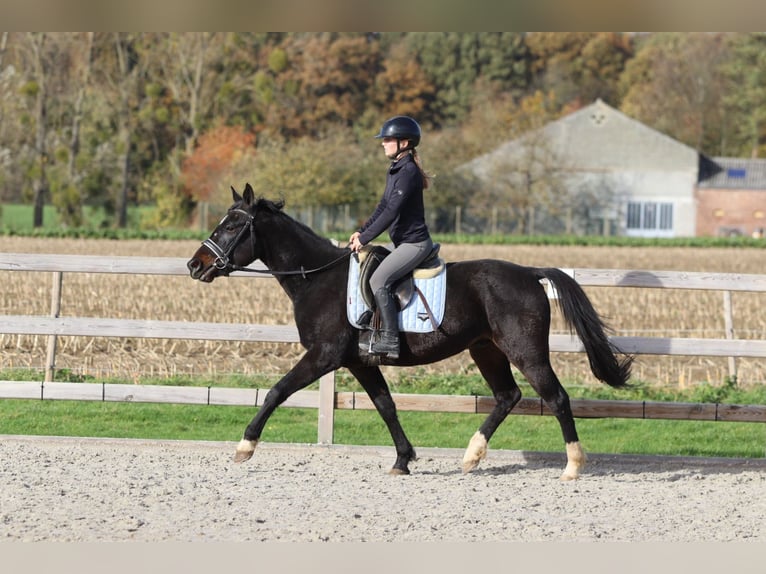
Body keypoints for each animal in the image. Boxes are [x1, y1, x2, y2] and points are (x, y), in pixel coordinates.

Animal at [187, 183, 633, 480]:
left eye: (232, 226)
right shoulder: (360, 362)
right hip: (486, 350)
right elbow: (386, 406)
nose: (195, 265)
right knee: (508, 396)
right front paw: (403, 459)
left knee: (555, 397)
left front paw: (245, 446)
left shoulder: (323, 356)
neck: (317, 279)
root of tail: (529, 273)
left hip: (525, 350)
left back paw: (572, 466)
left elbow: (277, 391)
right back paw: (472, 456)